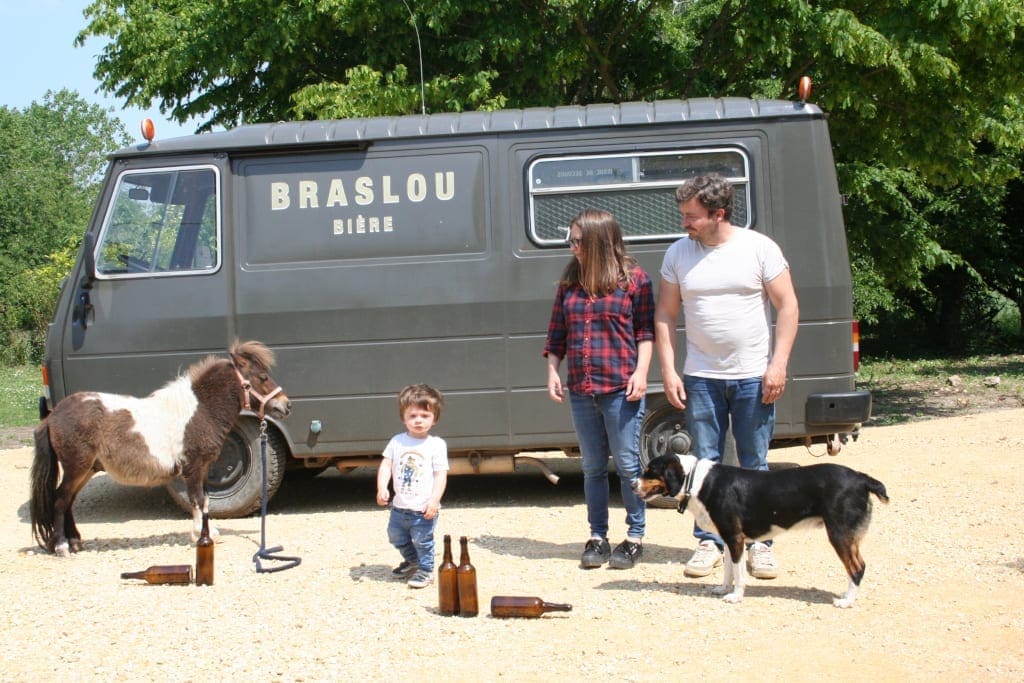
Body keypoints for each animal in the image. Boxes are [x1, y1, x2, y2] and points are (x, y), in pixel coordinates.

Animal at [28, 339, 290, 557]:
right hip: (76, 468)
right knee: (60, 500)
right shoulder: (193, 467)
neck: (200, 411)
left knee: (68, 500)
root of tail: (52, 417)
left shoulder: (205, 468)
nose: (286, 405)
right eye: (262, 377)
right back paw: (61, 546)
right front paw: (201, 535)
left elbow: (205, 500)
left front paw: (210, 532)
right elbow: (197, 500)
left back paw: (74, 541)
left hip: (86, 470)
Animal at [630, 454, 888, 610]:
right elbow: (728, 570)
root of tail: (861, 478)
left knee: (857, 567)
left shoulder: (735, 538)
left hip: (839, 533)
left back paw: (847, 601)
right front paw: (722, 589)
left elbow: (739, 573)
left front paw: (736, 596)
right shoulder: (728, 538)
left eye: (649, 471)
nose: (632, 485)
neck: (699, 481)